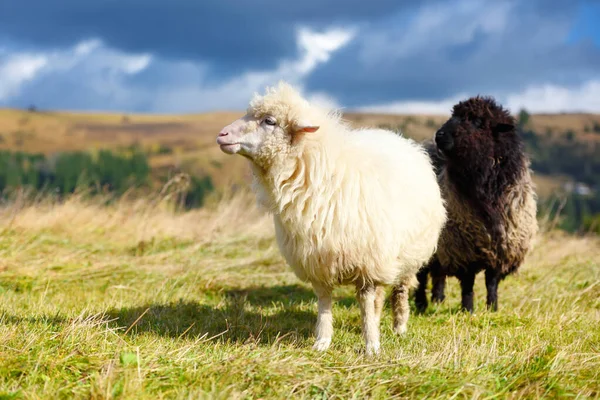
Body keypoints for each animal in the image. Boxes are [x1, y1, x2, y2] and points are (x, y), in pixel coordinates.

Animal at [216, 80, 446, 354]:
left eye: (269, 121)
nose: (221, 135)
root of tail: (399, 139)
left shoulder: (368, 261)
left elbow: (365, 302)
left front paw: (371, 345)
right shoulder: (318, 259)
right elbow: (325, 302)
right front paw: (322, 341)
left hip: (407, 256)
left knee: (399, 290)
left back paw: (399, 327)